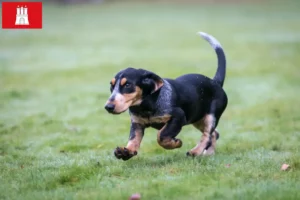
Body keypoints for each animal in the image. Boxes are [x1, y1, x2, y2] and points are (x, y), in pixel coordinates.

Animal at [105, 32, 227, 161]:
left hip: (210, 116)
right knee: (214, 134)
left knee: (207, 135)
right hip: (197, 117)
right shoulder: (137, 123)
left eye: (127, 85)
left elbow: (161, 136)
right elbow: (133, 139)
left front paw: (175, 143)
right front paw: (126, 152)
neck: (146, 105)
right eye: (111, 86)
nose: (108, 107)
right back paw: (209, 153)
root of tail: (215, 82)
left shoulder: (179, 116)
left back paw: (195, 152)